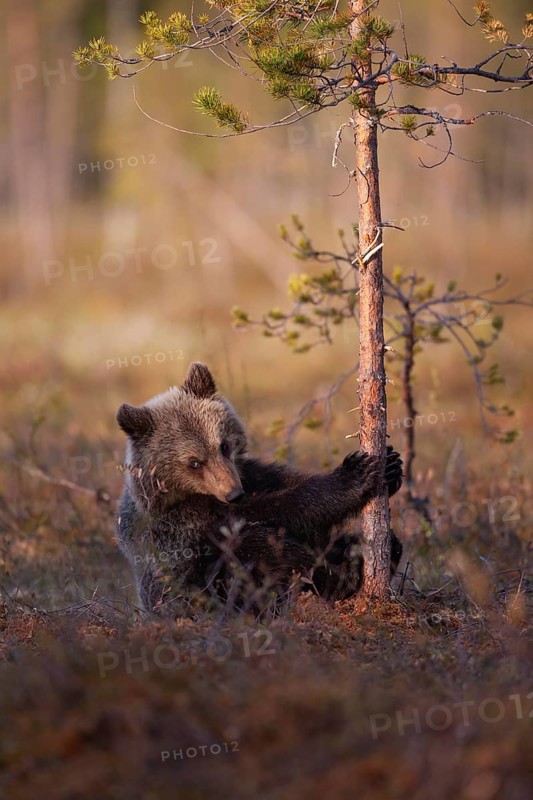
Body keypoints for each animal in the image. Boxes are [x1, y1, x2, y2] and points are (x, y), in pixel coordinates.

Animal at [116, 362, 403, 617]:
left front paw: (391, 465)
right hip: (205, 592)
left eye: (223, 445)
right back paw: (344, 576)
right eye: (194, 463)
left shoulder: (251, 474)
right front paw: (356, 473)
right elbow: (281, 510)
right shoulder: (186, 522)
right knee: (256, 549)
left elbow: (287, 483)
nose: (234, 493)